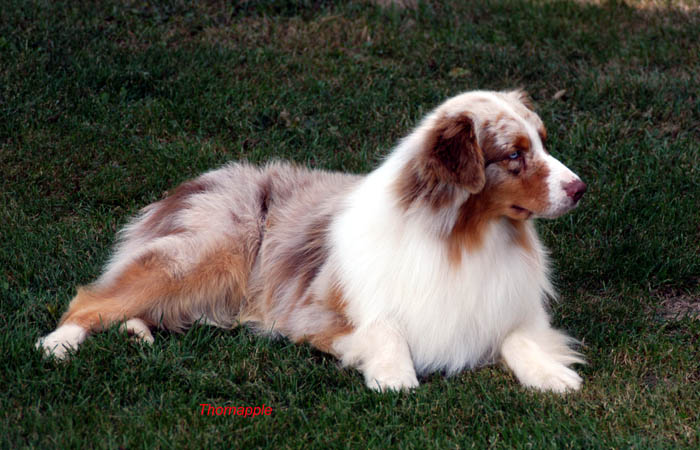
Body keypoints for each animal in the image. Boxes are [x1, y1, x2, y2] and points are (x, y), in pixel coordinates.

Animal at [37, 89, 584, 392]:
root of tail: (194, 183)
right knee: (89, 299)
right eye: (514, 155)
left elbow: (518, 335)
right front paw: (396, 377)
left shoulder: (506, 304)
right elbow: (385, 330)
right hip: (208, 253)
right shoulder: (315, 312)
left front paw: (550, 376)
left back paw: (138, 331)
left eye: (543, 142)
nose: (580, 188)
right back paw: (56, 346)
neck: (464, 238)